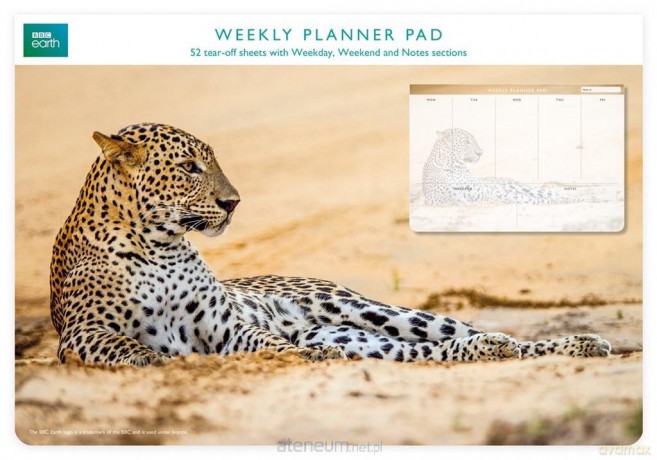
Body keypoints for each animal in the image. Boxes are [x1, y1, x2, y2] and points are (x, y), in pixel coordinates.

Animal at [422, 128, 576, 206]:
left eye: (474, 139)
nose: (481, 152)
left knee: (555, 194)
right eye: (466, 142)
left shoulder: (482, 193)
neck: (456, 167)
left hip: (522, 187)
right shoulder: (437, 198)